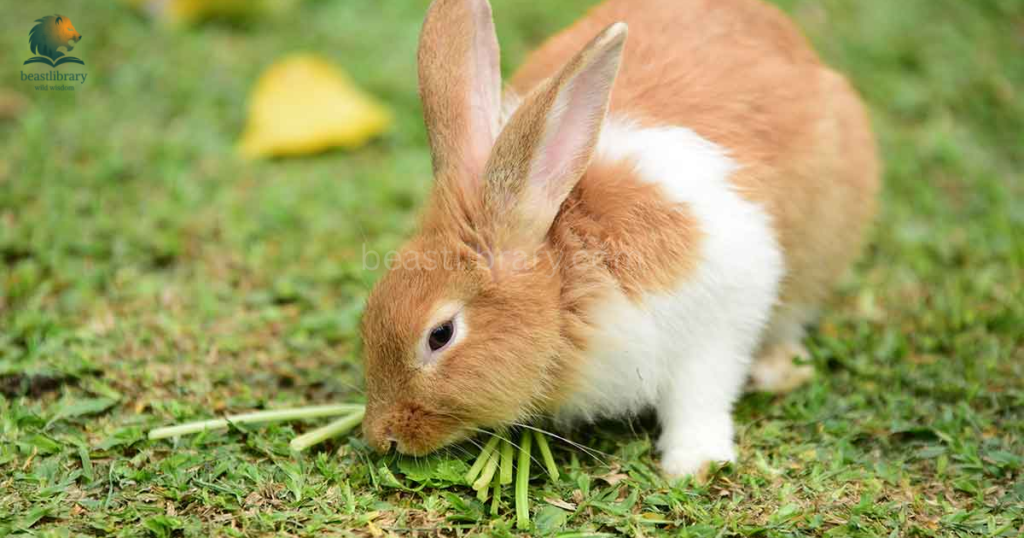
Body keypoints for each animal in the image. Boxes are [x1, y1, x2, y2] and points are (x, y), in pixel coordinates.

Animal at [360, 0, 879, 478]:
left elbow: (701, 393)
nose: (383, 436)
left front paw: (693, 463)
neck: (568, 281)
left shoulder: (721, 311)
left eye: (440, 335)